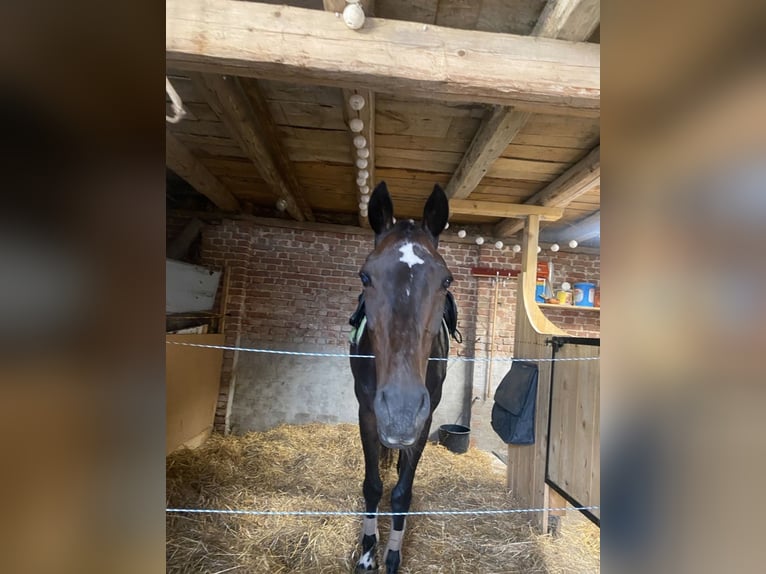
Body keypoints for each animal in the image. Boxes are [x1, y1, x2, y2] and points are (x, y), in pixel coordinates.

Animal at [349, 181, 456, 573]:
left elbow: (401, 492)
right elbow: (372, 487)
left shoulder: (425, 421)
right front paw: (368, 553)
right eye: (366, 276)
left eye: (446, 280)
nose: (401, 410)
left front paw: (392, 554)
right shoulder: (367, 413)